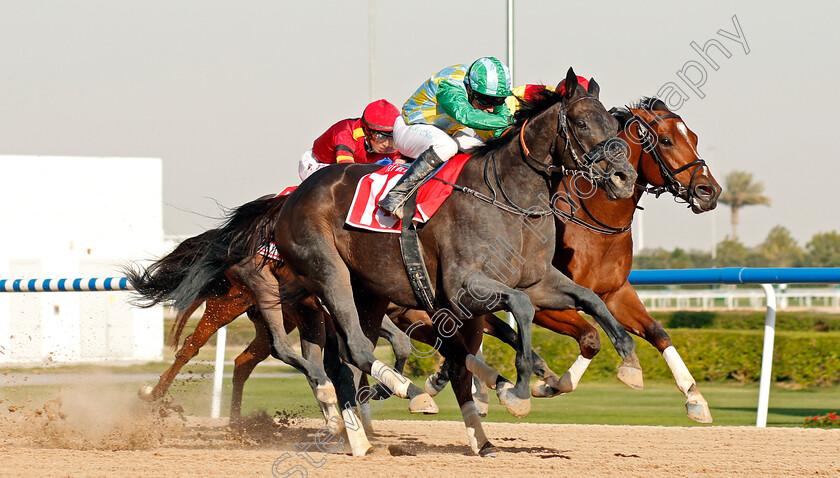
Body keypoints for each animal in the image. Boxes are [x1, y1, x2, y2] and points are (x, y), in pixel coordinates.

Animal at [179, 70, 636, 456]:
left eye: (615, 127)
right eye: (580, 124)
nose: (624, 178)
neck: (507, 197)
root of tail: (289, 200)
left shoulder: (537, 280)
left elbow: (591, 300)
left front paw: (627, 363)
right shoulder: (465, 287)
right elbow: (519, 311)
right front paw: (521, 390)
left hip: (366, 293)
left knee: (341, 358)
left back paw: (364, 432)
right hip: (323, 277)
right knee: (350, 349)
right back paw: (405, 396)